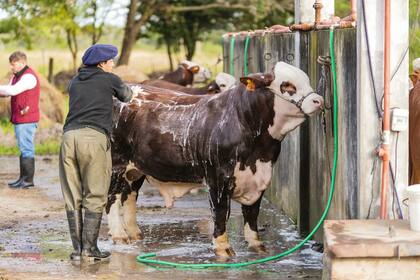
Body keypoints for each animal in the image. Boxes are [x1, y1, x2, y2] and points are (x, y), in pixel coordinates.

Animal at [106, 61, 324, 256]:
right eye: (287, 85)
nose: (319, 101)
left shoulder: (260, 179)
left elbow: (252, 213)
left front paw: (257, 245)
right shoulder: (217, 179)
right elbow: (220, 213)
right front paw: (223, 248)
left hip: (136, 170)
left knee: (129, 197)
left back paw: (135, 234)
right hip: (116, 166)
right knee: (112, 199)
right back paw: (119, 236)